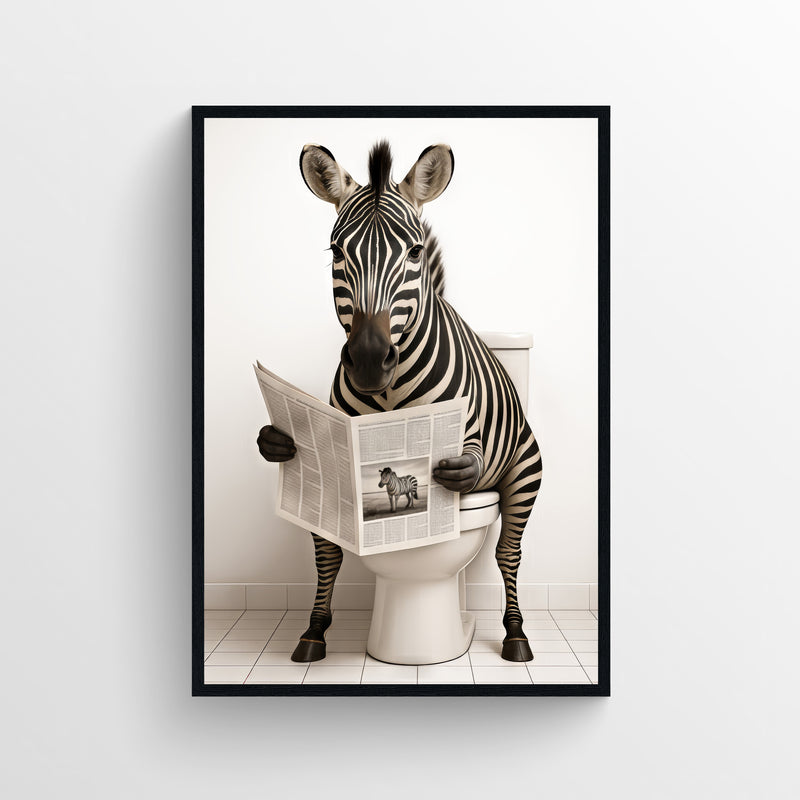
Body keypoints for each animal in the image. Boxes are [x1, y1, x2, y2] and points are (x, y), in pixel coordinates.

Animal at [257, 140, 542, 663]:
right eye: (336, 251)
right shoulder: (336, 464)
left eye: (413, 251)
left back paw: (515, 635)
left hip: (524, 475)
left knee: (507, 554)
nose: (370, 360)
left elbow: (467, 459)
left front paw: (457, 468)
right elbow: (327, 551)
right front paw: (314, 630)